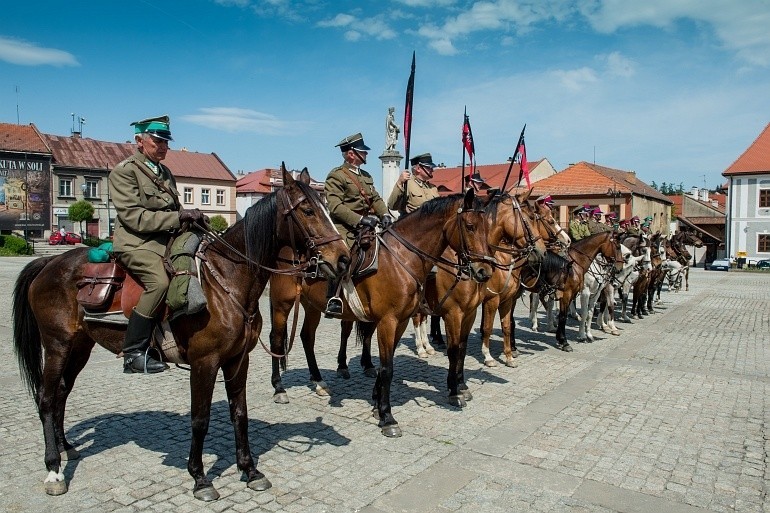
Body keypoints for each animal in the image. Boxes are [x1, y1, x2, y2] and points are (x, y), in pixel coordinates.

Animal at [12, 167, 348, 500]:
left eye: (326, 209)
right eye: (308, 210)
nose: (343, 258)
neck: (226, 280)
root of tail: (49, 261)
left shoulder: (238, 360)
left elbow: (239, 413)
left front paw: (250, 470)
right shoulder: (204, 363)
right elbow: (200, 419)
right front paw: (200, 478)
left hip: (80, 346)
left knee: (61, 393)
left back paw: (67, 447)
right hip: (57, 345)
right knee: (46, 398)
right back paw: (54, 470)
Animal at [268, 189, 488, 436]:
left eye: (486, 227)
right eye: (470, 226)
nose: (483, 271)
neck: (401, 258)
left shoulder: (401, 321)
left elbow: (388, 363)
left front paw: (376, 404)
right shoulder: (391, 321)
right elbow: (388, 368)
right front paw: (388, 416)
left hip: (312, 306)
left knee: (307, 337)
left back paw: (318, 382)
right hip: (282, 303)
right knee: (276, 339)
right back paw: (279, 388)